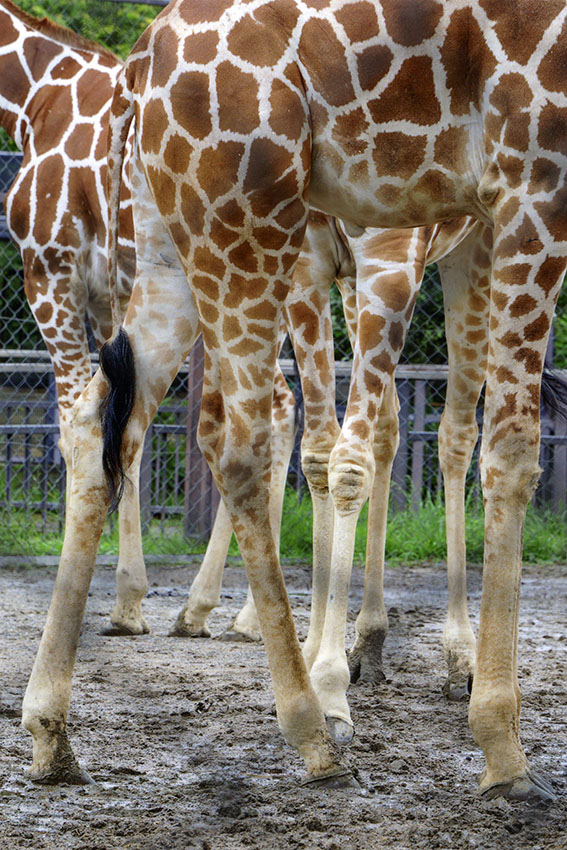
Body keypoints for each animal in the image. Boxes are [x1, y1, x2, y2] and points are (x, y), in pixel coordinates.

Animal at [22, 0, 567, 800]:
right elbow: (504, 447)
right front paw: (500, 742)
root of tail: (143, 55)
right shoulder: (530, 177)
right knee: (248, 445)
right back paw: (313, 725)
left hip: (185, 245)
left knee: (102, 422)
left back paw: (51, 731)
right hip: (250, 225)